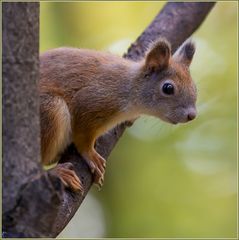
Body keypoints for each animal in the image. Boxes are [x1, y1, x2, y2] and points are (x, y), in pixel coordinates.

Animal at [38, 39, 196, 193]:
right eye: (168, 88)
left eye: (194, 87)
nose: (192, 115)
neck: (129, 87)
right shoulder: (89, 101)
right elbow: (83, 136)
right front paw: (90, 154)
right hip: (51, 110)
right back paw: (56, 173)